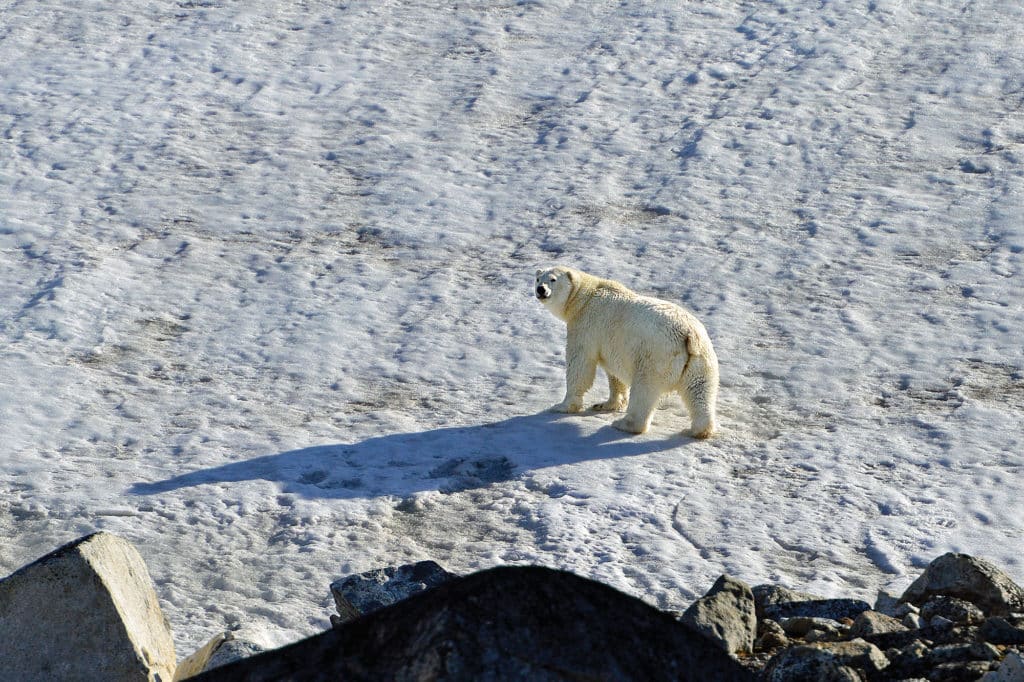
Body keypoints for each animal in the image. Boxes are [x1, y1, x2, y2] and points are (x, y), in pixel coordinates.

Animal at [536, 266, 720, 436]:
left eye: (552, 279)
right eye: (538, 278)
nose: (540, 289)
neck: (585, 297)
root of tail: (688, 335)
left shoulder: (585, 326)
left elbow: (580, 365)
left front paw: (562, 406)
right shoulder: (612, 344)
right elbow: (614, 374)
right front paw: (605, 404)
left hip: (656, 356)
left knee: (644, 389)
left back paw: (624, 424)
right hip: (700, 360)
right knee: (700, 391)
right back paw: (699, 430)